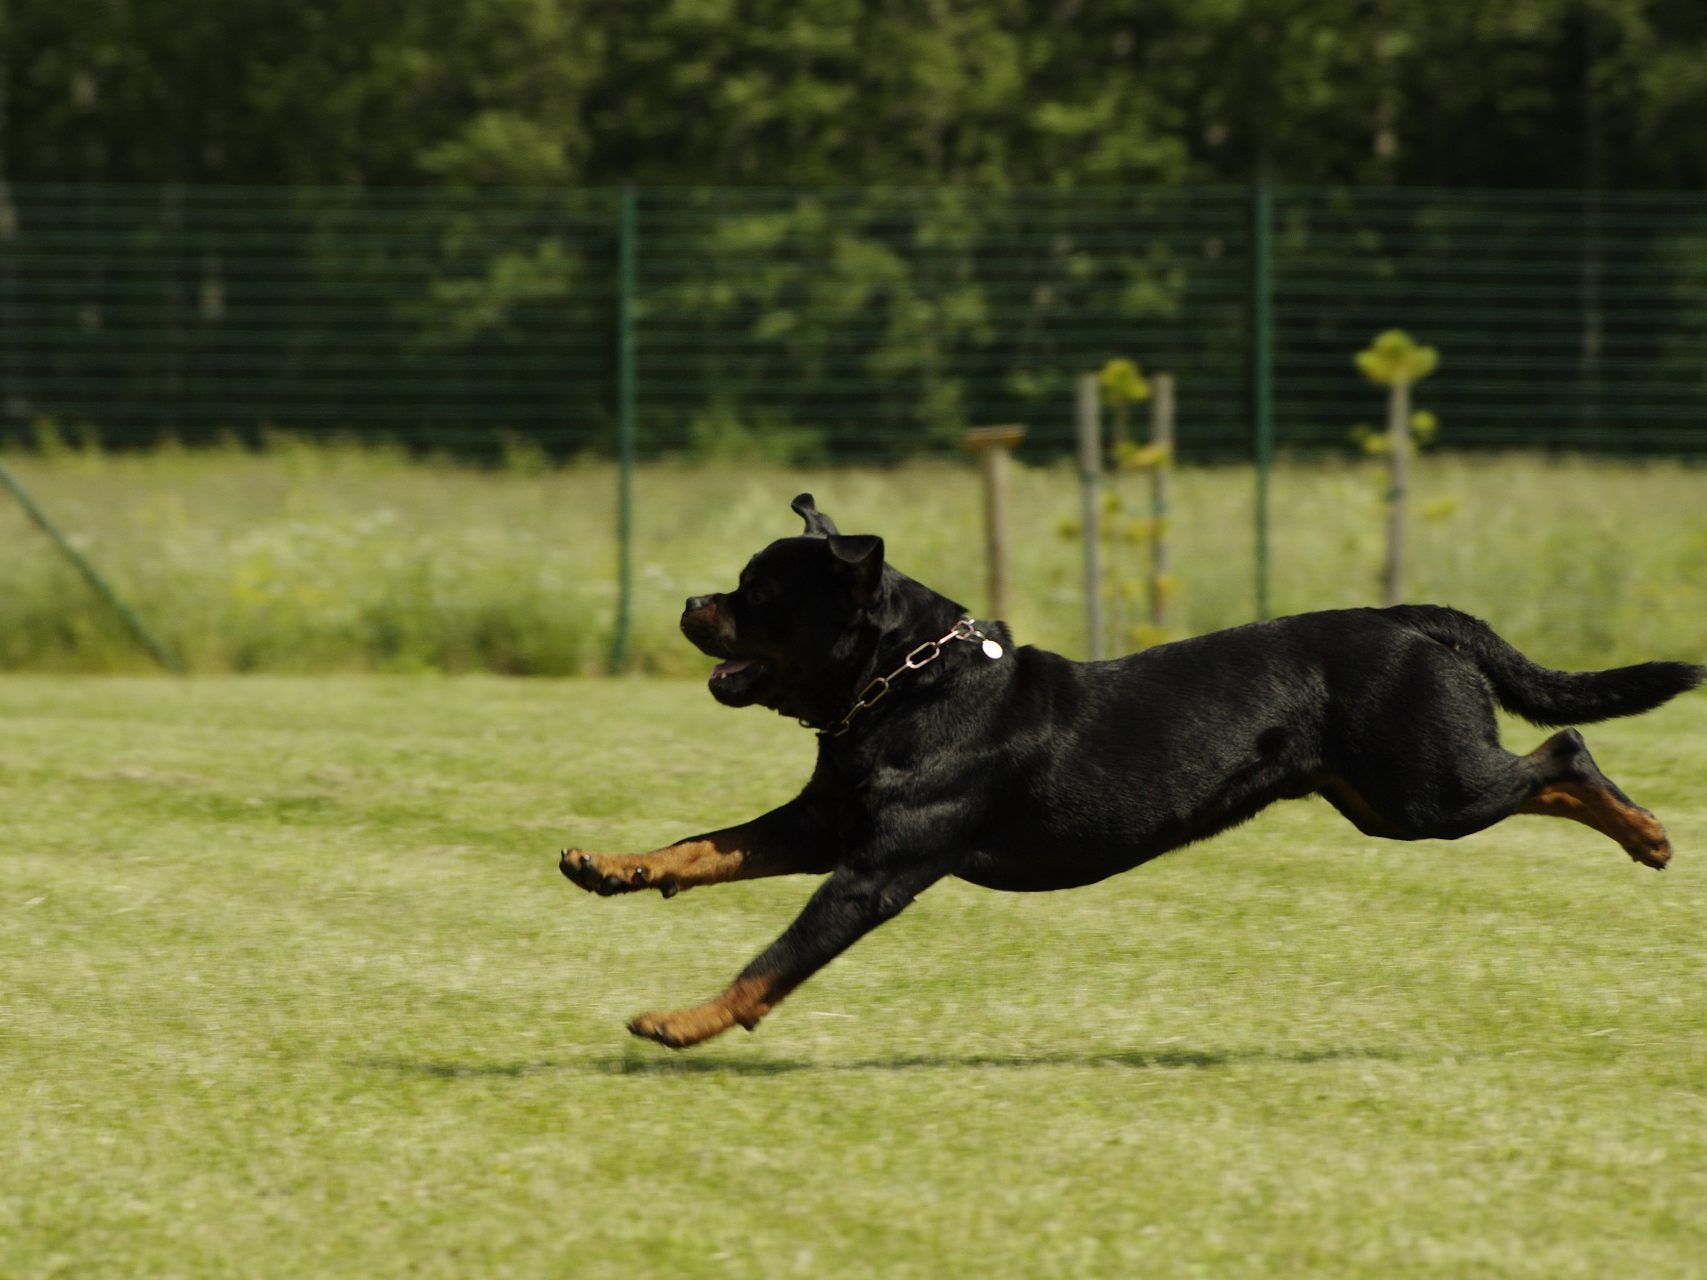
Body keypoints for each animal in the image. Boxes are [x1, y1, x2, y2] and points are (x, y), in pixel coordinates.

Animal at [563, 494, 1707, 1044]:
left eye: (758, 594)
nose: (689, 604)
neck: (901, 685)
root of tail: (1408, 615)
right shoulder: (819, 828)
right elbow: (704, 844)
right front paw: (613, 866)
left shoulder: (871, 869)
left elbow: (773, 959)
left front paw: (682, 1021)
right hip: (1384, 798)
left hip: (1430, 788)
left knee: (1560, 752)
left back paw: (1649, 833)